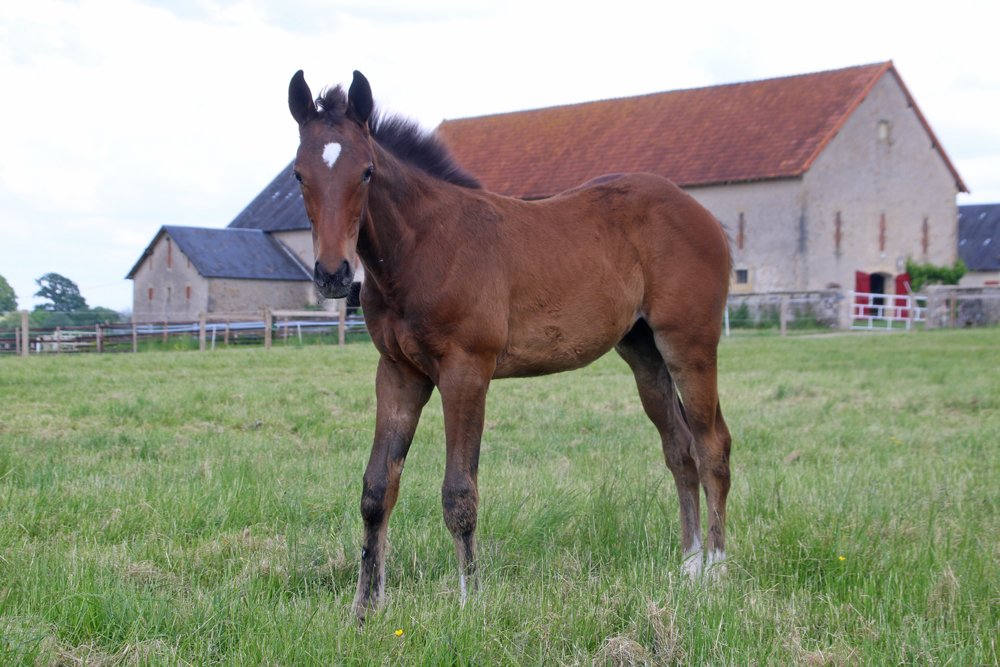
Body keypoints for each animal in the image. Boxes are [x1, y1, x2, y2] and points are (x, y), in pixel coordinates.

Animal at [288, 70, 733, 621]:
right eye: (299, 175)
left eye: (367, 171)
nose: (333, 274)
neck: (424, 246)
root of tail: (705, 216)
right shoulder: (397, 372)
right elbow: (376, 489)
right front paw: (366, 609)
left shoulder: (465, 370)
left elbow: (459, 492)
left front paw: (470, 603)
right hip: (643, 353)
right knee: (679, 448)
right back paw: (688, 565)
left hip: (689, 345)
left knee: (712, 444)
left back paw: (716, 571)